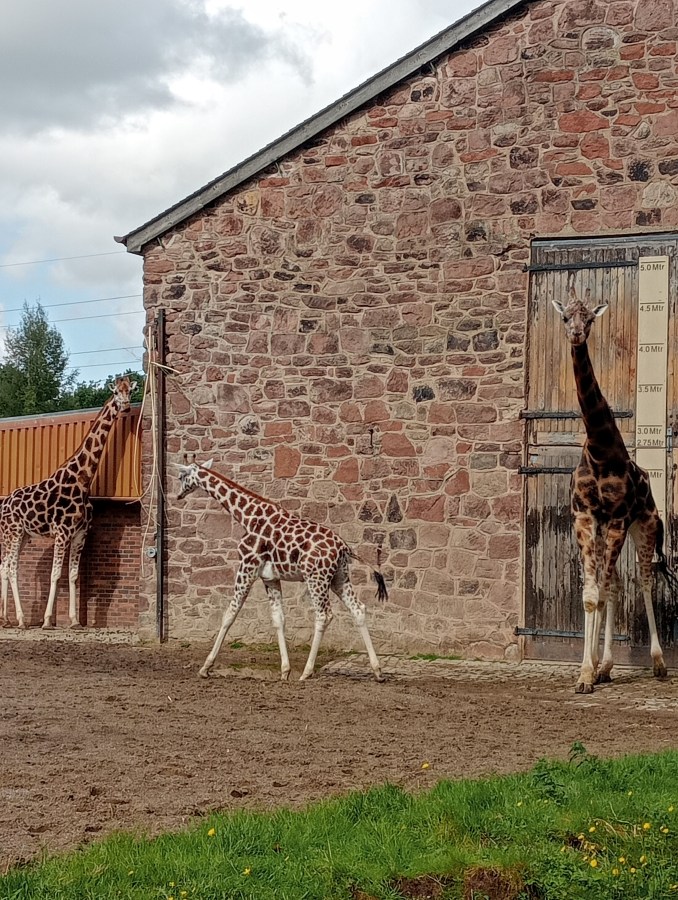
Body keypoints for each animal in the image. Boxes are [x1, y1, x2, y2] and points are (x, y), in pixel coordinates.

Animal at [0, 376, 136, 630]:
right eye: (115, 392)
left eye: (129, 391)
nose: (125, 407)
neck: (83, 480)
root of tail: (3, 506)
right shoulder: (62, 533)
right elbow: (55, 574)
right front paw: (46, 621)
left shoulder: (80, 534)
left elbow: (72, 575)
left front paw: (74, 621)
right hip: (12, 532)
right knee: (12, 568)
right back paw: (21, 620)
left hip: (23, 536)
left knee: (4, 566)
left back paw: (5, 618)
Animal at [177, 458, 387, 682]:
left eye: (181, 476)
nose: (178, 495)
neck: (246, 516)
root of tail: (343, 547)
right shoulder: (269, 578)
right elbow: (278, 619)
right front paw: (285, 670)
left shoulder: (247, 567)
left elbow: (229, 614)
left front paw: (206, 667)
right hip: (339, 578)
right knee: (358, 609)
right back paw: (377, 670)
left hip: (316, 578)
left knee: (324, 615)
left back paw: (307, 672)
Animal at [553, 286, 676, 693]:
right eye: (565, 316)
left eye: (590, 318)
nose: (576, 334)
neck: (600, 449)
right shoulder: (585, 516)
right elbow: (593, 594)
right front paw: (587, 672)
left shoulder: (620, 517)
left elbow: (604, 589)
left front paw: (589, 671)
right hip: (610, 528)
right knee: (617, 585)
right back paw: (606, 666)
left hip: (645, 525)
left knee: (643, 579)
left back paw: (658, 663)